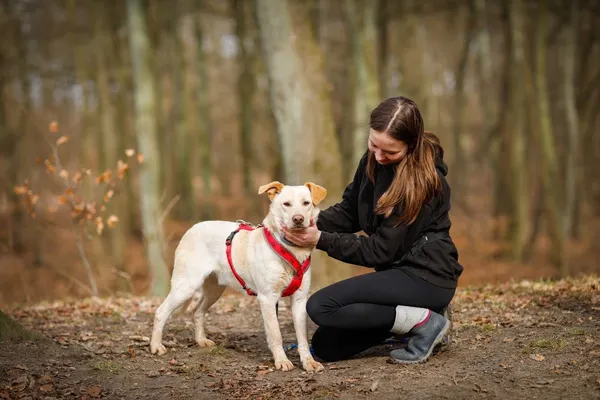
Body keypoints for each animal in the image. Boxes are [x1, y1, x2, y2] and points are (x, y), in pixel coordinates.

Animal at [150, 181, 328, 372]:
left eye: (306, 203)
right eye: (286, 204)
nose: (298, 219)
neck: (288, 248)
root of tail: (192, 228)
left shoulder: (300, 299)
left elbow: (302, 337)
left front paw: (308, 362)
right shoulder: (268, 298)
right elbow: (275, 334)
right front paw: (281, 360)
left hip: (214, 290)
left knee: (197, 311)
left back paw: (201, 341)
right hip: (186, 286)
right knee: (161, 312)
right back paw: (156, 346)